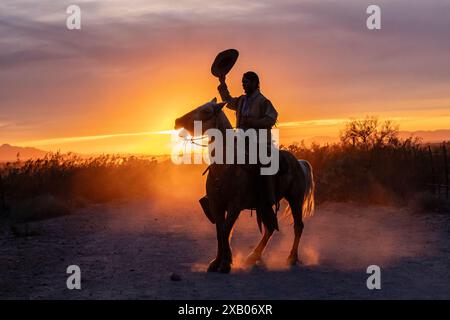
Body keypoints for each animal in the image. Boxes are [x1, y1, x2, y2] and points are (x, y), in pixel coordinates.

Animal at [174, 97, 314, 272]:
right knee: (269, 228)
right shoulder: (216, 205)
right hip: (264, 205)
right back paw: (253, 257)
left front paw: (225, 263)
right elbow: (220, 231)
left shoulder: (235, 205)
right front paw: (216, 262)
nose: (177, 121)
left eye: (206, 111)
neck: (225, 166)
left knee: (297, 226)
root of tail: (299, 163)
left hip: (295, 199)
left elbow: (225, 230)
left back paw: (291, 258)